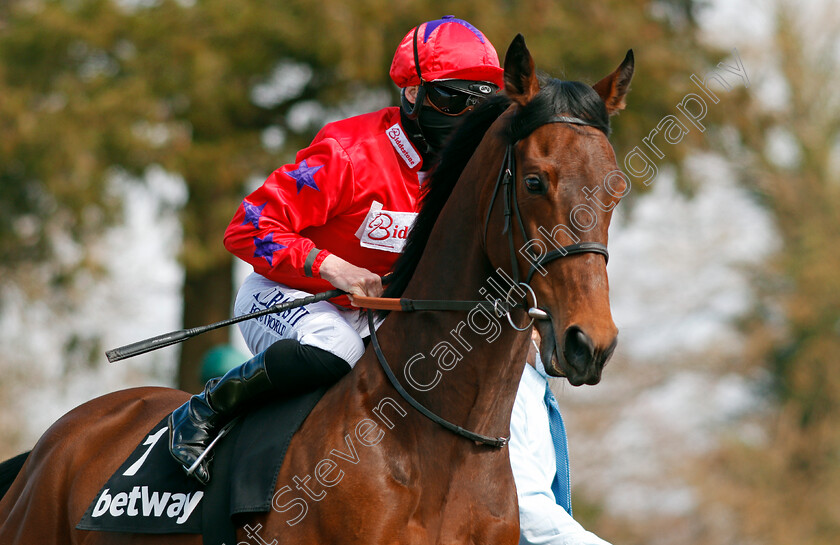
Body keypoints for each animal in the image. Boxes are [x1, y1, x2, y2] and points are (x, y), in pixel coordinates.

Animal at [0, 36, 632, 540]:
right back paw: (190, 429)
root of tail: (47, 448)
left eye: (616, 188)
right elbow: (256, 220)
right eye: (535, 182)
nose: (590, 342)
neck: (435, 443)